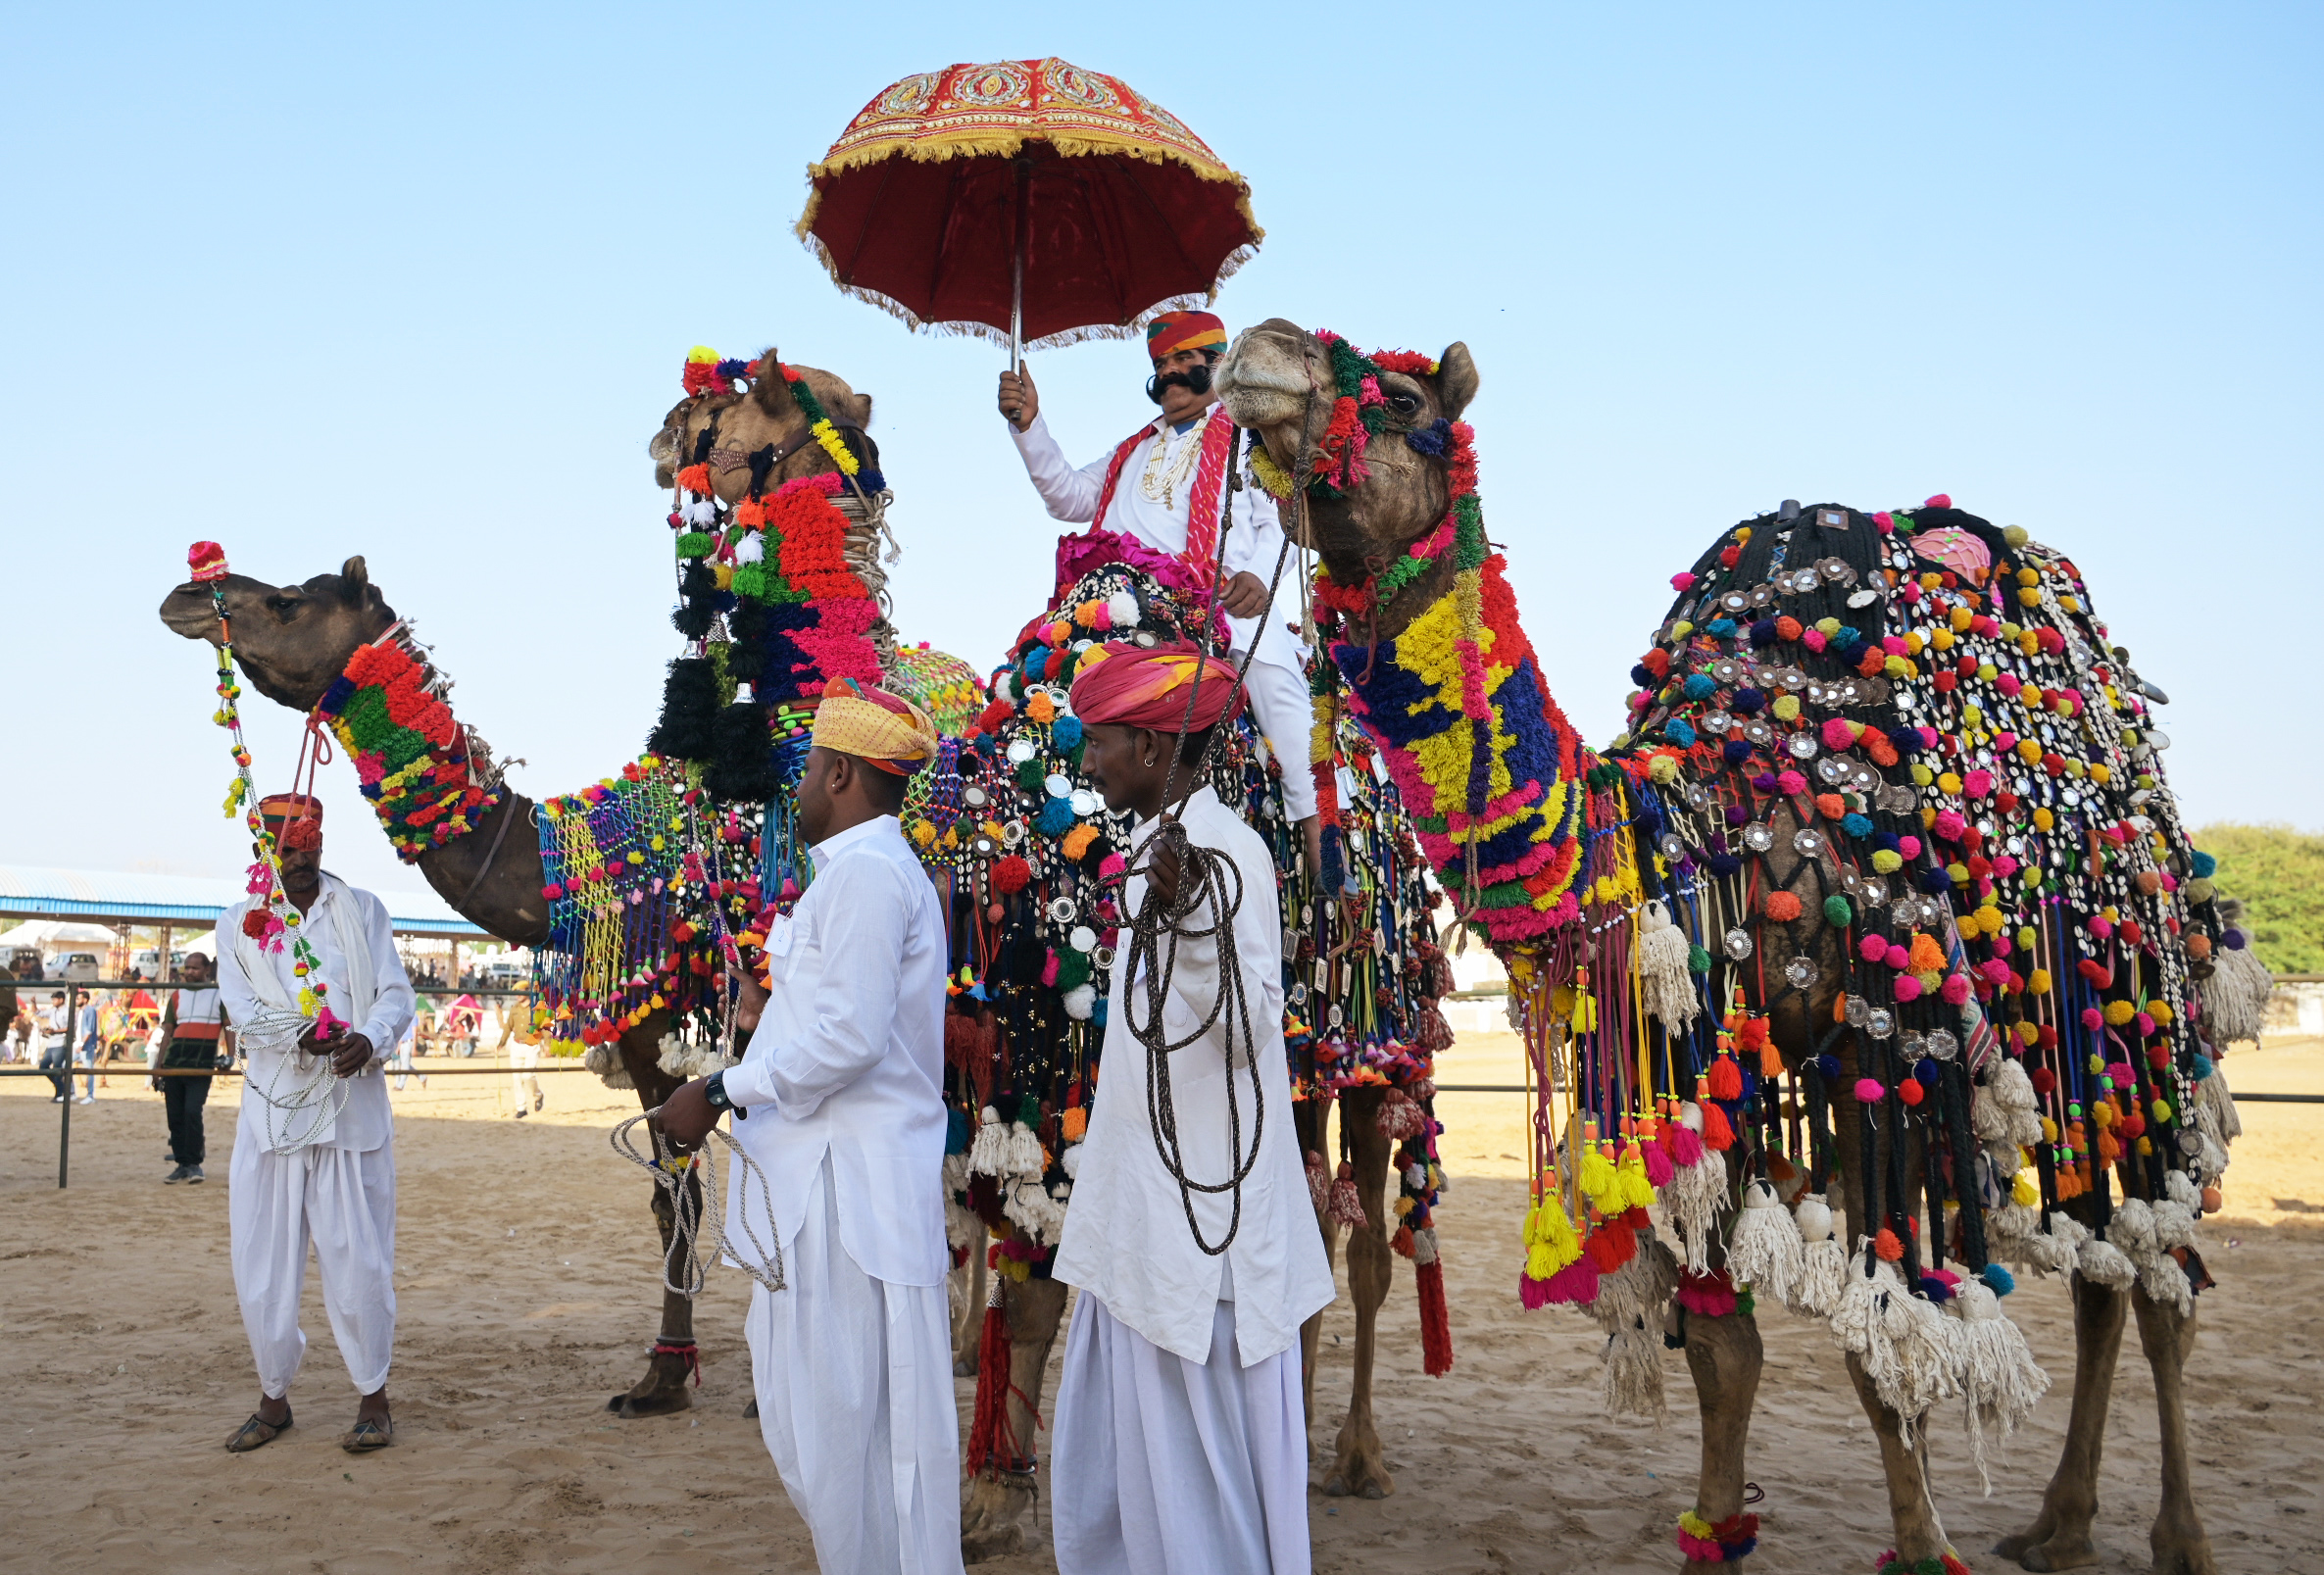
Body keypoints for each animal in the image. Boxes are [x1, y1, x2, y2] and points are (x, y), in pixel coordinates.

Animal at [1226, 320, 2240, 1575]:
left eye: (1403, 397)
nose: (1259, 350)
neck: (1700, 825)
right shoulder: (1694, 1064)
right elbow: (1722, 1349)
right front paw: (1715, 1529)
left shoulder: (1883, 1042)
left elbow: (1876, 1335)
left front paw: (1920, 1545)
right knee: (2107, 1265)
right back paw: (2057, 1521)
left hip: (2132, 1000)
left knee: (2161, 1276)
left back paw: (2176, 1534)